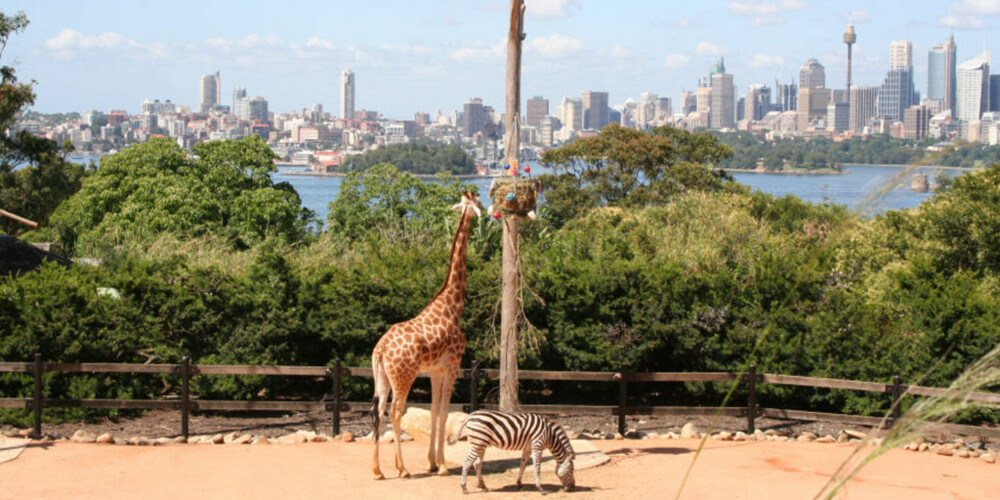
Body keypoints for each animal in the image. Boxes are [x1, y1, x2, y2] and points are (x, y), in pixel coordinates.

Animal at [372, 191, 484, 480]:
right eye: (477, 202)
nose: (487, 211)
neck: (453, 306)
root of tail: (380, 350)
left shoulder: (435, 370)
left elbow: (433, 411)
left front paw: (432, 463)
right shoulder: (454, 365)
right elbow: (444, 412)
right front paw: (442, 466)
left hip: (382, 377)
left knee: (378, 410)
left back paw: (377, 470)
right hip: (404, 376)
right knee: (395, 412)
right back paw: (401, 469)